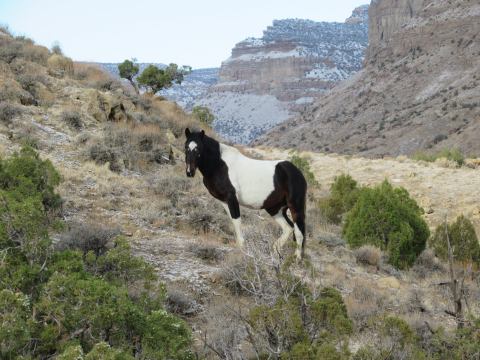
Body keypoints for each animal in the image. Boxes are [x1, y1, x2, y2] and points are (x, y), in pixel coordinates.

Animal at [184, 128, 308, 260]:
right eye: (186, 147)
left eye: (198, 148)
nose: (189, 172)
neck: (219, 164)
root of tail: (297, 172)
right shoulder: (224, 201)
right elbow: (233, 221)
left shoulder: (232, 198)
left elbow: (237, 221)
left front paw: (242, 248)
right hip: (275, 208)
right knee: (288, 228)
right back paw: (275, 252)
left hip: (295, 206)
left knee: (299, 232)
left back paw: (297, 259)